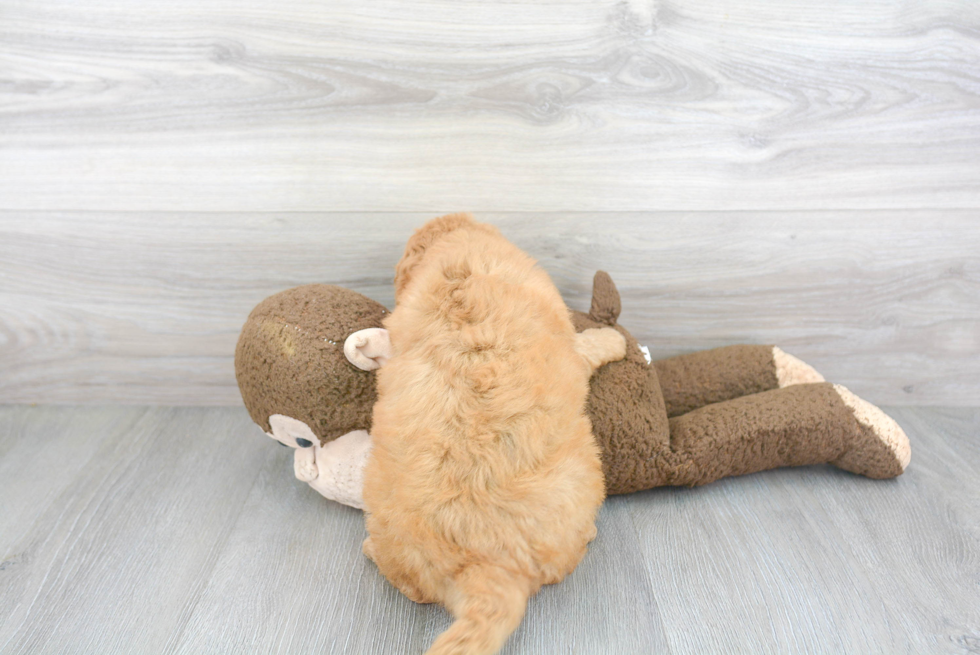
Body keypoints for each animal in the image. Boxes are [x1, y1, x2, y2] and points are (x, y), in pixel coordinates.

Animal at [362, 215, 628, 655]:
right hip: (585, 479)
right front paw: (615, 340)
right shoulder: (571, 346)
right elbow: (588, 345)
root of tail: (486, 565)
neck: (458, 265)